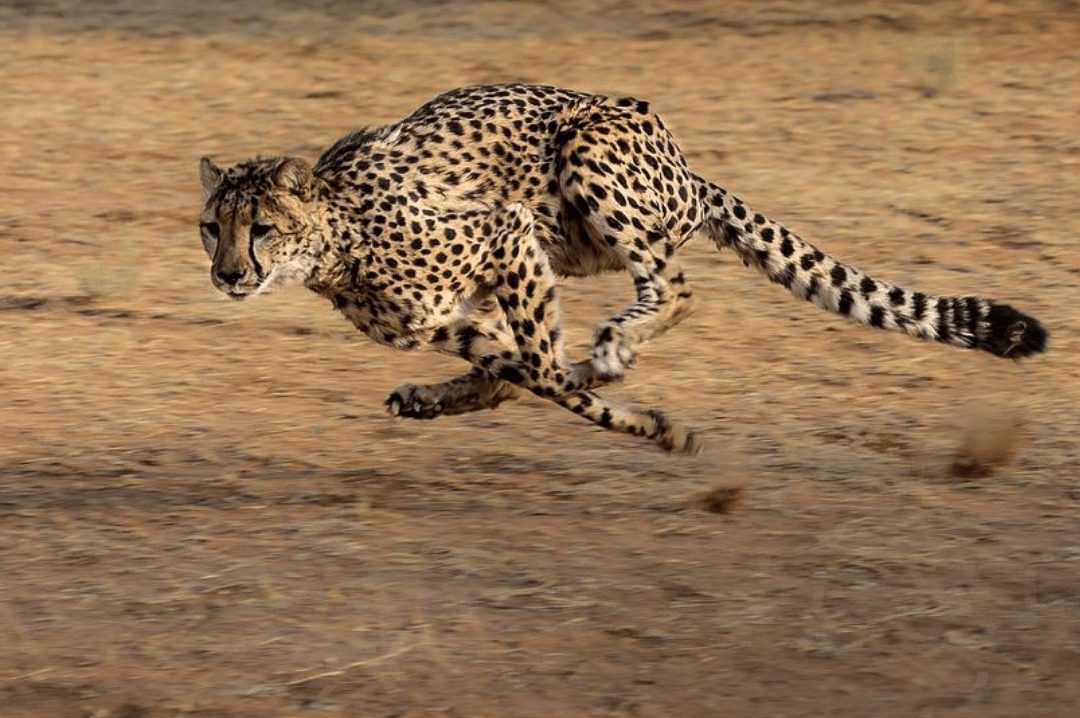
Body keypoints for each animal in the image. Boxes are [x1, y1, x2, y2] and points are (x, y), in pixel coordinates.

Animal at [198, 83, 1047, 454]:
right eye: (212, 228)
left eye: (261, 228)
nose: (228, 275)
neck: (335, 242)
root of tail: (686, 165)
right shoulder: (451, 318)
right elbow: (523, 373)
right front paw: (645, 420)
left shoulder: (505, 232)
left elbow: (545, 370)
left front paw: (642, 415)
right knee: (521, 367)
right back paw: (448, 395)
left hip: (587, 158)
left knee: (675, 287)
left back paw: (613, 346)